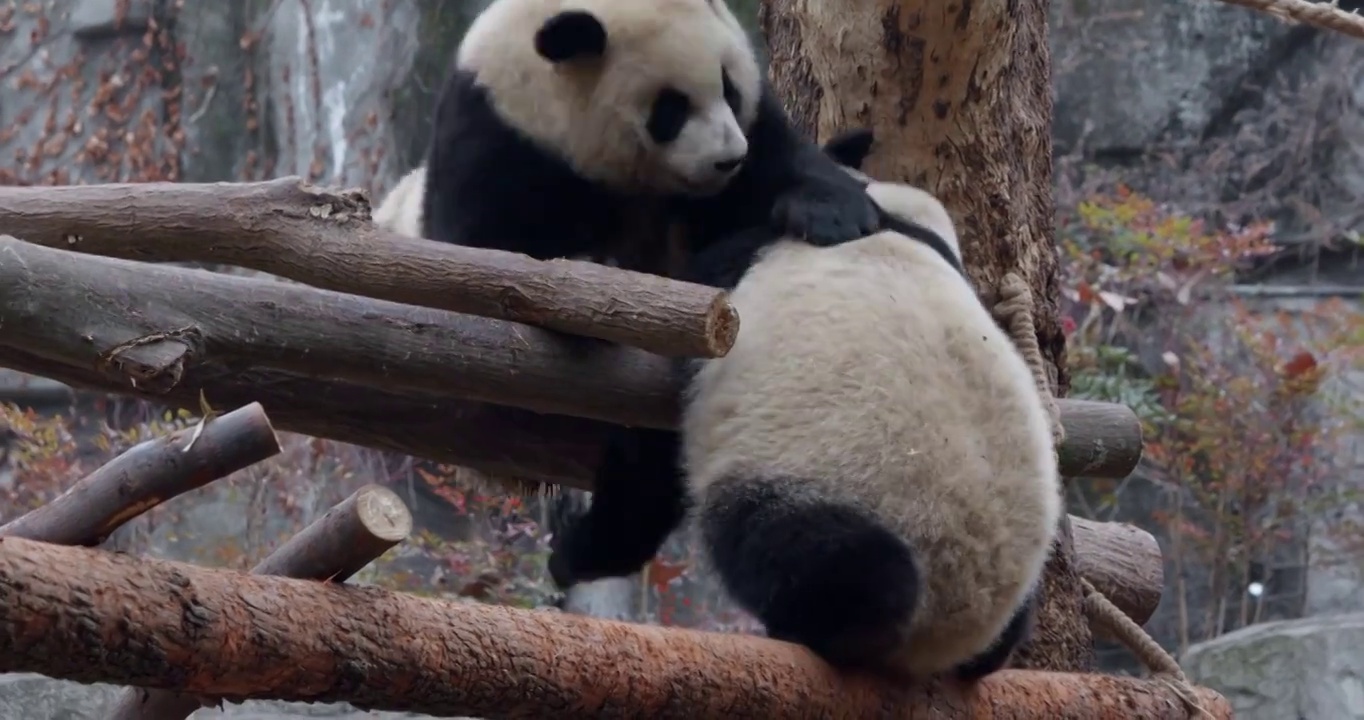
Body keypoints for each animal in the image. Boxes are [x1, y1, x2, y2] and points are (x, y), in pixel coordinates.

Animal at [420, 0, 878, 267]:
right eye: (670, 110)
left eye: (729, 89)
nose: (728, 160)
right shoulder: (500, 139)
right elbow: (488, 242)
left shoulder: (753, 128)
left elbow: (781, 158)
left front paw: (834, 215)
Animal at [548, 133, 1058, 681]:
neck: (891, 217)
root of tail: (952, 628)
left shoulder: (722, 281)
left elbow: (649, 461)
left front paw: (576, 552)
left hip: (810, 497)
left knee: (834, 566)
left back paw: (816, 627)